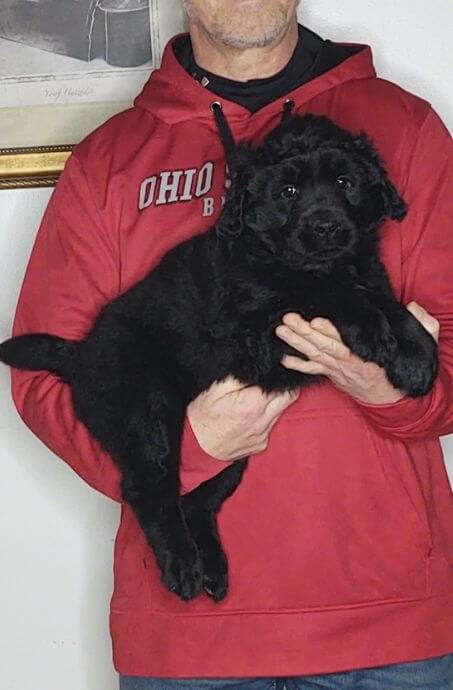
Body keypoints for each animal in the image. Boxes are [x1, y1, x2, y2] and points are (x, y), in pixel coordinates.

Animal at [0, 115, 438, 600]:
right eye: (288, 191)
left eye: (345, 182)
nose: (325, 227)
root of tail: (80, 354)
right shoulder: (254, 330)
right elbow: (323, 292)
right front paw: (372, 328)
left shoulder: (361, 274)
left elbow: (386, 300)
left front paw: (417, 355)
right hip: (146, 413)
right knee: (148, 487)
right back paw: (183, 566)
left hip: (231, 454)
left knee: (198, 499)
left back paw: (211, 565)